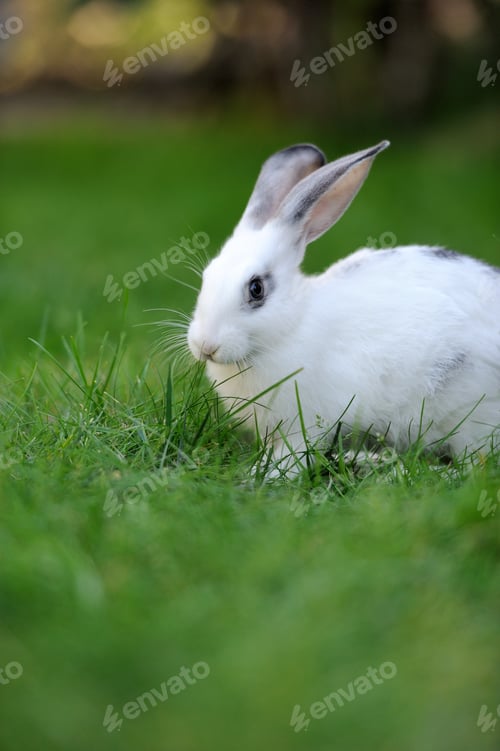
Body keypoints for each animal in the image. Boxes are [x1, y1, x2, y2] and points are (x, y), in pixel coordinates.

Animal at [187, 141, 500, 475]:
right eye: (207, 276)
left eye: (256, 289)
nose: (205, 346)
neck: (291, 326)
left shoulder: (304, 423)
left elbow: (294, 453)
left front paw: (265, 474)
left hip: (471, 415)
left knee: (474, 464)